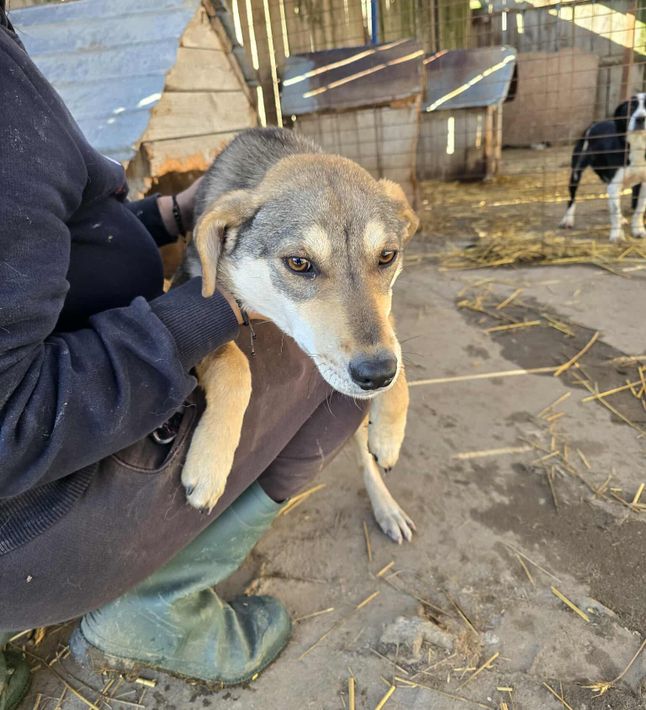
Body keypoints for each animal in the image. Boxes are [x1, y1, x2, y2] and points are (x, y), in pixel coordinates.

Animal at [175, 128, 419, 544]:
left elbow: (398, 353)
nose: (375, 376)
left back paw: (386, 506)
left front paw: (389, 434)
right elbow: (234, 362)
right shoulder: (197, 299)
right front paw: (210, 461)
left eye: (387, 256)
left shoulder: (386, 326)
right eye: (299, 263)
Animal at [559, 93, 646, 242]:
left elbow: (639, 209)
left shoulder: (643, 183)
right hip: (576, 172)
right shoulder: (614, 183)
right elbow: (615, 210)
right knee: (572, 197)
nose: (640, 118)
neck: (637, 145)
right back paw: (568, 220)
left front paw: (638, 229)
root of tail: (595, 123)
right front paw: (617, 235)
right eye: (631, 107)